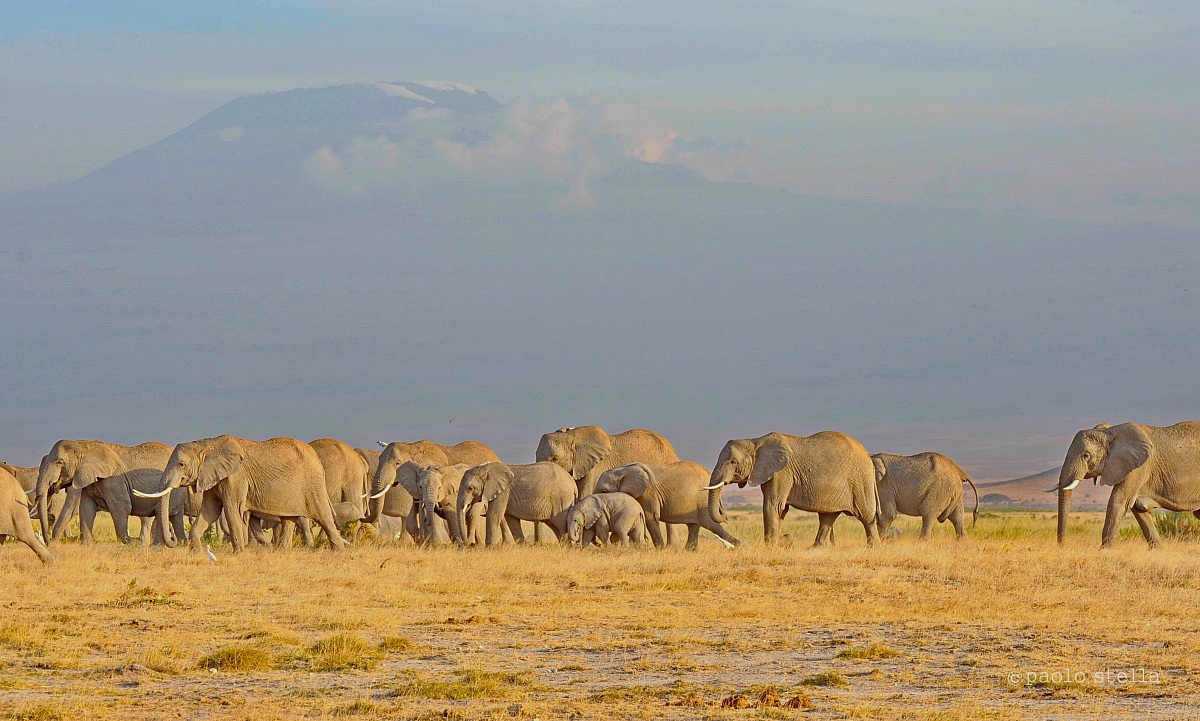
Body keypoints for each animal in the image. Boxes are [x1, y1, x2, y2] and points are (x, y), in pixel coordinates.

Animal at [35, 440, 173, 544]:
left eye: (60, 462)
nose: (48, 540)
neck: (84, 445)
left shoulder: (113, 479)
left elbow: (121, 506)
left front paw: (131, 541)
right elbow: (86, 507)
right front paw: (86, 544)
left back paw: (144, 542)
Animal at [134, 435, 345, 553]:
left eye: (181, 464)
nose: (173, 541)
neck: (206, 444)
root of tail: (316, 458)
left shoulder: (235, 477)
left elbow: (231, 509)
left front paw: (238, 554)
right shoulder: (214, 476)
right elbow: (210, 511)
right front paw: (196, 552)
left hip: (312, 483)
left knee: (323, 515)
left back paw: (338, 552)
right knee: (289, 519)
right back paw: (282, 552)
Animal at [595, 461, 739, 549]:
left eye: (603, 491)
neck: (622, 470)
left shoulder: (648, 493)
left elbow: (650, 517)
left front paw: (660, 549)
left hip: (702, 499)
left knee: (710, 523)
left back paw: (737, 545)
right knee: (693, 525)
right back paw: (689, 550)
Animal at [705, 431, 880, 547]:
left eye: (733, 462)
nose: (725, 515)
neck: (755, 441)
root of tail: (868, 458)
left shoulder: (781, 473)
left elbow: (772, 505)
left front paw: (770, 547)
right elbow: (780, 510)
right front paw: (779, 541)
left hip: (860, 481)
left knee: (866, 516)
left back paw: (873, 548)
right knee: (827, 517)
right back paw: (814, 549)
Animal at [1046, 421, 1200, 548]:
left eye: (1086, 455)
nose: (1062, 547)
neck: (1110, 432)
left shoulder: (1138, 468)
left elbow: (1119, 501)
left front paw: (1104, 551)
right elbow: (1137, 507)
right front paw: (1158, 551)